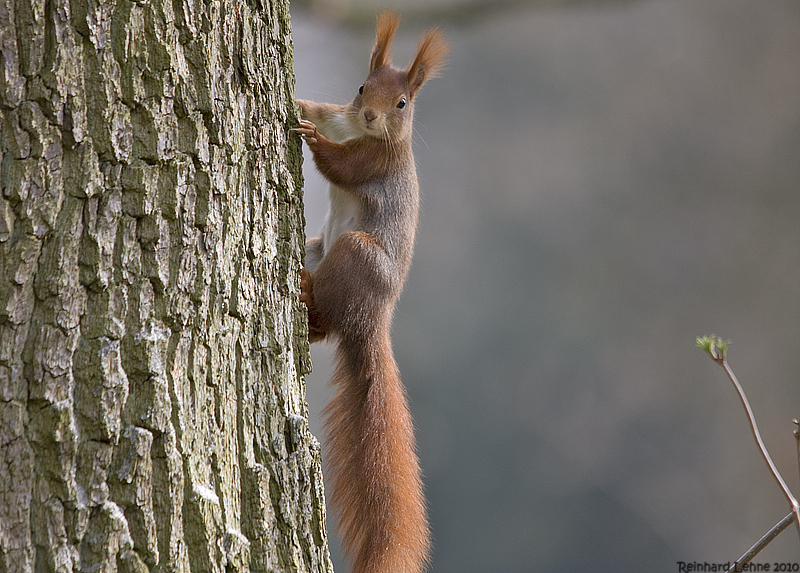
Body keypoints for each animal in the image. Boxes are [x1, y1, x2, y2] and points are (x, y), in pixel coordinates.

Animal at [292, 11, 446, 572]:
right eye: (362, 87)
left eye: (402, 104)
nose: (373, 117)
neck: (358, 130)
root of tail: (374, 318)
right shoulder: (341, 113)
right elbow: (318, 109)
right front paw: (298, 107)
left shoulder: (375, 163)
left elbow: (340, 166)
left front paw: (312, 140)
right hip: (318, 248)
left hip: (355, 256)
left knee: (327, 319)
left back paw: (306, 295)